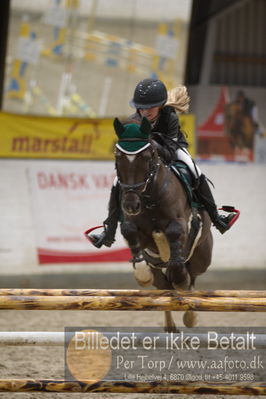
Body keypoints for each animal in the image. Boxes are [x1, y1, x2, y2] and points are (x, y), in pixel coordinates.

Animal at [113, 118, 213, 332]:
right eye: (117, 158)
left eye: (147, 157)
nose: (130, 205)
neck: (150, 198)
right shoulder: (138, 231)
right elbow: (129, 231)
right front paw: (142, 274)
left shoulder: (181, 224)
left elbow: (175, 234)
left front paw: (180, 277)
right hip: (157, 264)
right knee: (163, 286)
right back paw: (170, 326)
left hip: (202, 257)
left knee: (191, 279)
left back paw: (190, 315)